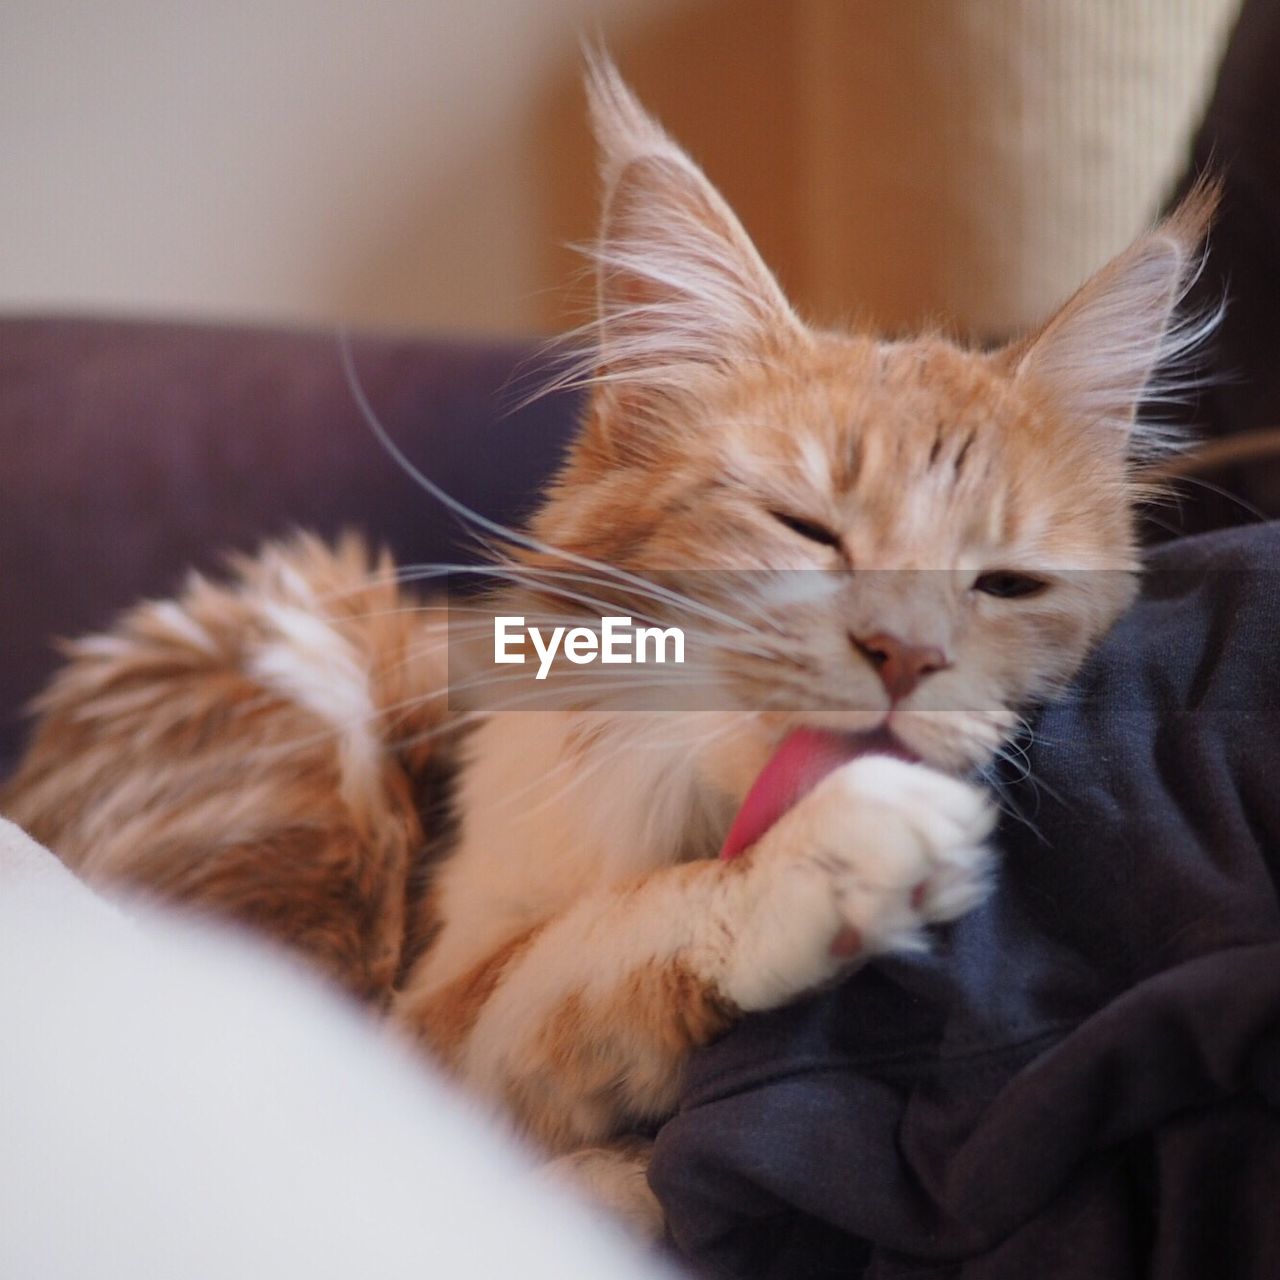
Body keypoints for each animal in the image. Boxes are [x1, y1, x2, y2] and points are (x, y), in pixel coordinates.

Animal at [2, 57, 1218, 1228]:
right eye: (805, 528)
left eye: (1004, 583)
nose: (905, 655)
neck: (682, 803)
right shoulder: (425, 1015)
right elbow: (592, 947)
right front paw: (818, 856)